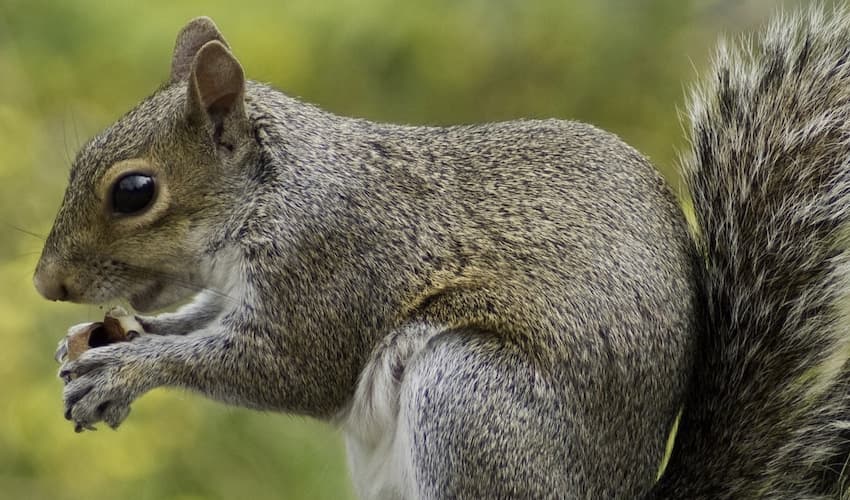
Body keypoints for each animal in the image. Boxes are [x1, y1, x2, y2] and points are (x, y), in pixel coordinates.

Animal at [30, 6, 850, 499]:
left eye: (135, 191)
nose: (45, 284)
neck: (277, 192)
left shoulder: (331, 265)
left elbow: (286, 367)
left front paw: (124, 369)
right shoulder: (234, 288)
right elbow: (195, 323)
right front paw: (93, 343)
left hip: (471, 397)